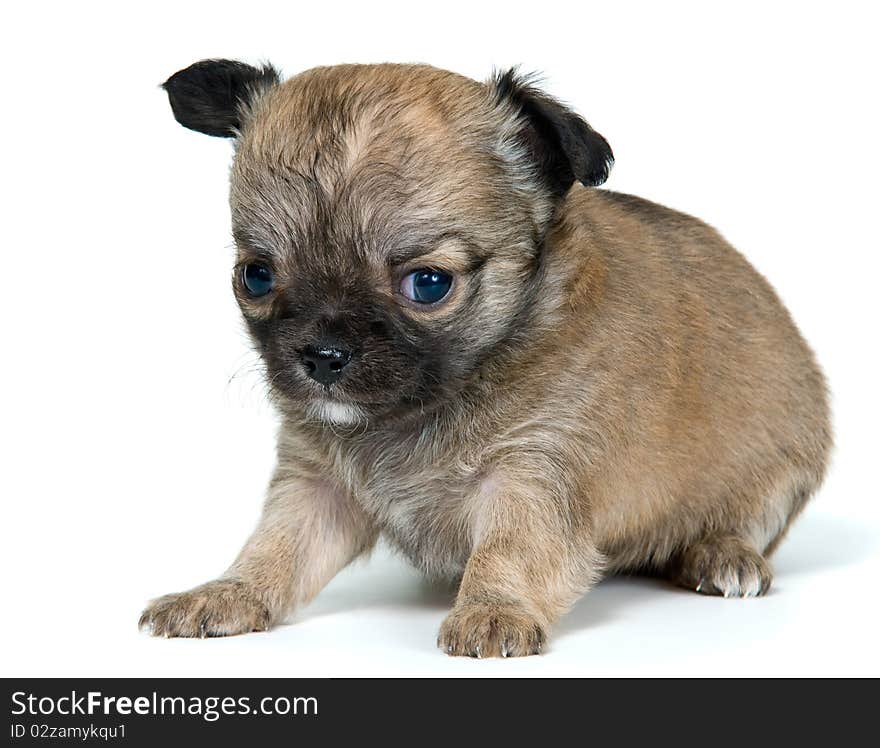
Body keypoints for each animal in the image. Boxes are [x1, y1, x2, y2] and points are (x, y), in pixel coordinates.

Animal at [139, 61, 832, 656]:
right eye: (256, 276)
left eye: (428, 285)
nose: (322, 356)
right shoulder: (316, 487)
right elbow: (276, 549)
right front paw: (224, 592)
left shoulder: (532, 475)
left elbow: (508, 552)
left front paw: (492, 610)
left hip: (780, 473)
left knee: (744, 522)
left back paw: (722, 554)